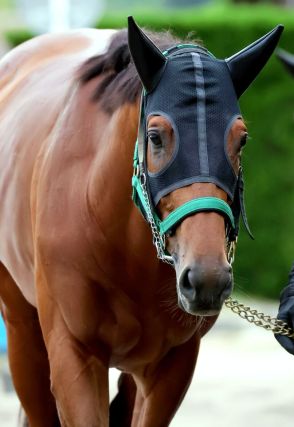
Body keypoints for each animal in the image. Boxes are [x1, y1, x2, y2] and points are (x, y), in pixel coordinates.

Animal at [0, 16, 282, 427]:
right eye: (155, 136)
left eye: (241, 139)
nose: (207, 278)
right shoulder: (74, 354)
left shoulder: (172, 364)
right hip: (22, 331)